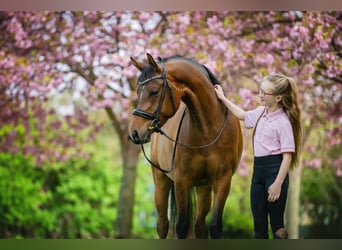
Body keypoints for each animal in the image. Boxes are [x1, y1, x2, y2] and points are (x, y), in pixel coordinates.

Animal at [128, 53, 243, 239]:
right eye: (138, 92)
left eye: (153, 91)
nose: (134, 133)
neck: (208, 129)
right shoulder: (181, 181)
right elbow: (181, 227)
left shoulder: (223, 181)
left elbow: (215, 227)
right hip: (161, 182)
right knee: (163, 225)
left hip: (204, 187)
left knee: (199, 225)